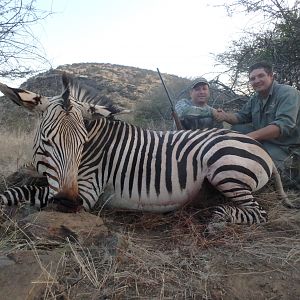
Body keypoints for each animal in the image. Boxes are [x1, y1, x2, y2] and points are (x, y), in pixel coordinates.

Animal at [0, 74, 288, 224]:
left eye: (82, 143)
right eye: (46, 140)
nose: (68, 202)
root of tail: (257, 145)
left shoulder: (88, 191)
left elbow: (19, 192)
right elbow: (21, 187)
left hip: (226, 171)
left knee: (258, 213)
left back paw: (217, 219)